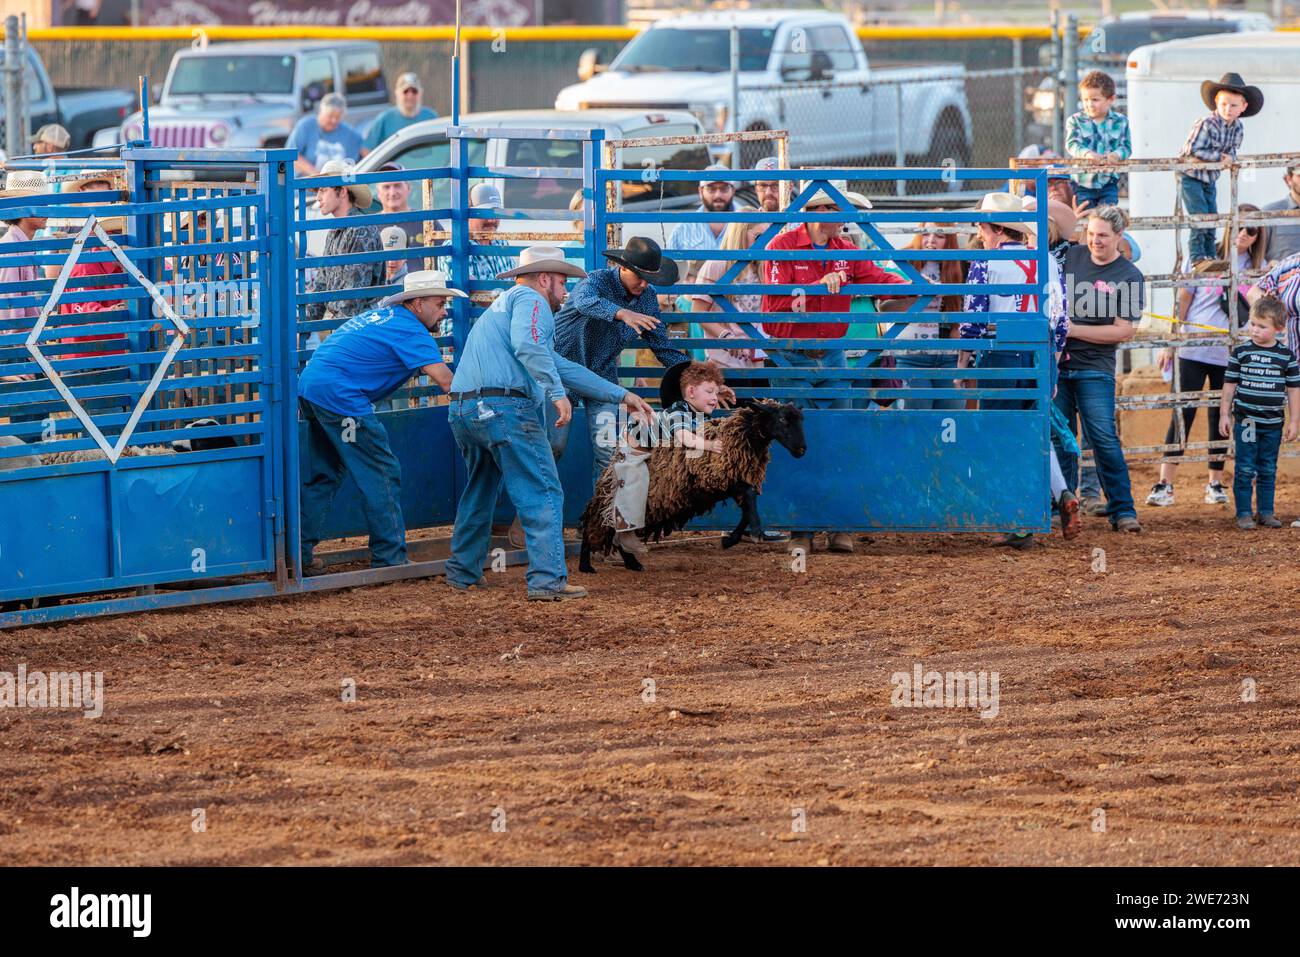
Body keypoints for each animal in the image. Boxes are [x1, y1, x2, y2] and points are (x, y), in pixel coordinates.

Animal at [577, 400, 800, 572]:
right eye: (782, 420)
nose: (802, 450)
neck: (738, 435)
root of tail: (606, 476)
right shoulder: (725, 481)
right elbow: (751, 499)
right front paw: (754, 532)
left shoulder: (732, 485)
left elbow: (748, 508)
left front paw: (731, 539)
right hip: (612, 508)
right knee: (592, 528)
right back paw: (585, 566)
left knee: (620, 537)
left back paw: (633, 563)